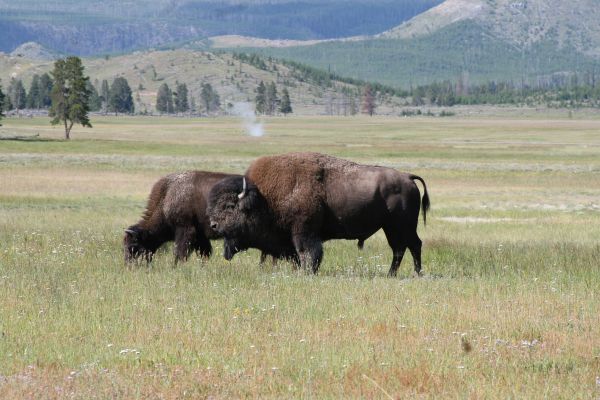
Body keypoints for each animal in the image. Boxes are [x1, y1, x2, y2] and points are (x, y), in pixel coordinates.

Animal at [209, 152, 428, 276]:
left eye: (229, 206)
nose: (213, 225)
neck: (263, 198)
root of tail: (407, 177)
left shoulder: (304, 232)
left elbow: (307, 253)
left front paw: (307, 273)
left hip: (402, 226)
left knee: (413, 245)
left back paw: (416, 273)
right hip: (391, 227)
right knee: (400, 248)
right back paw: (393, 274)